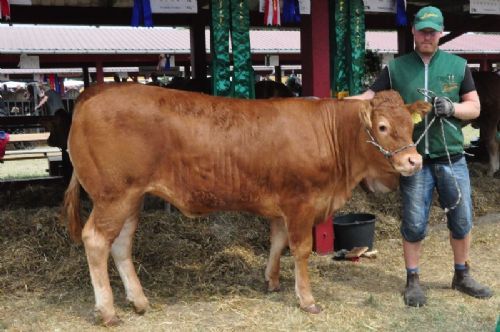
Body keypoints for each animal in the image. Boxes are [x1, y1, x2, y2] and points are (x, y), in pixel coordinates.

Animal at [62, 84, 430, 326]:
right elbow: (300, 250)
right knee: (96, 241)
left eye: (410, 125)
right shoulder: (301, 202)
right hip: (114, 197)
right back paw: (108, 312)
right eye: (382, 127)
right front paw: (307, 299)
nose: (414, 161)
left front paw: (272, 281)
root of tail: (95, 93)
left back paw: (139, 302)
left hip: (131, 199)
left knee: (121, 246)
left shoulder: (283, 204)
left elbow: (277, 242)